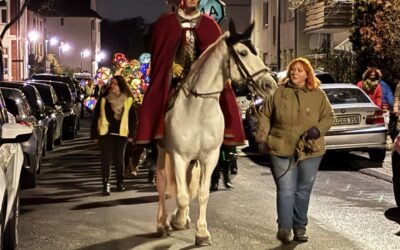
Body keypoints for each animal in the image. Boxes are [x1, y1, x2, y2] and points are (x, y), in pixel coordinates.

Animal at [155, 20, 276, 246]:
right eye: (243, 52)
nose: (270, 84)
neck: (197, 109)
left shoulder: (208, 158)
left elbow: (201, 194)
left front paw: (201, 232)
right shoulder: (178, 156)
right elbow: (182, 195)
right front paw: (177, 221)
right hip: (161, 151)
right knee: (162, 183)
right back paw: (162, 224)